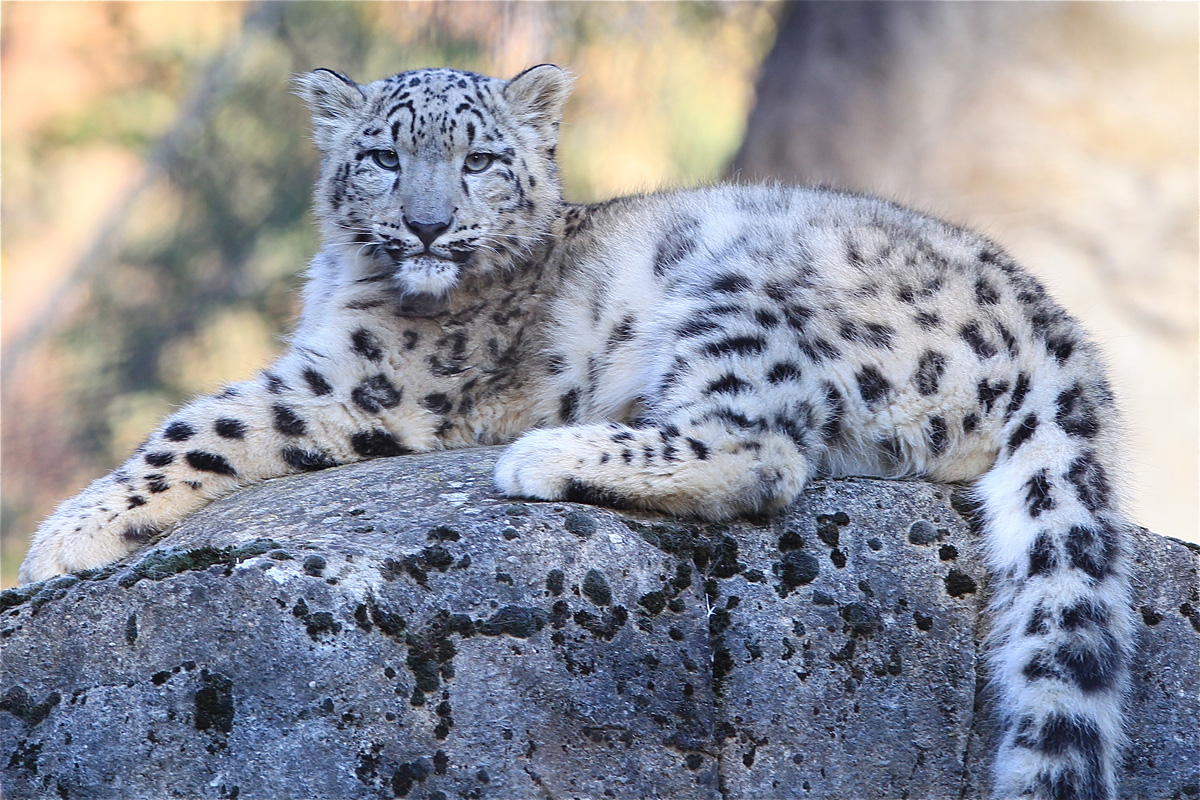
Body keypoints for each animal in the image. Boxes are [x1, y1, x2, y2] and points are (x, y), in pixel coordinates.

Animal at [25, 64, 1132, 800]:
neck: (351, 283)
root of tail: (1060, 328)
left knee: (762, 451)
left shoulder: (362, 383)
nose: (427, 225)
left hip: (740, 289)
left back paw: (549, 453)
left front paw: (63, 536)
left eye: (478, 159)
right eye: (382, 156)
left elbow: (205, 419)